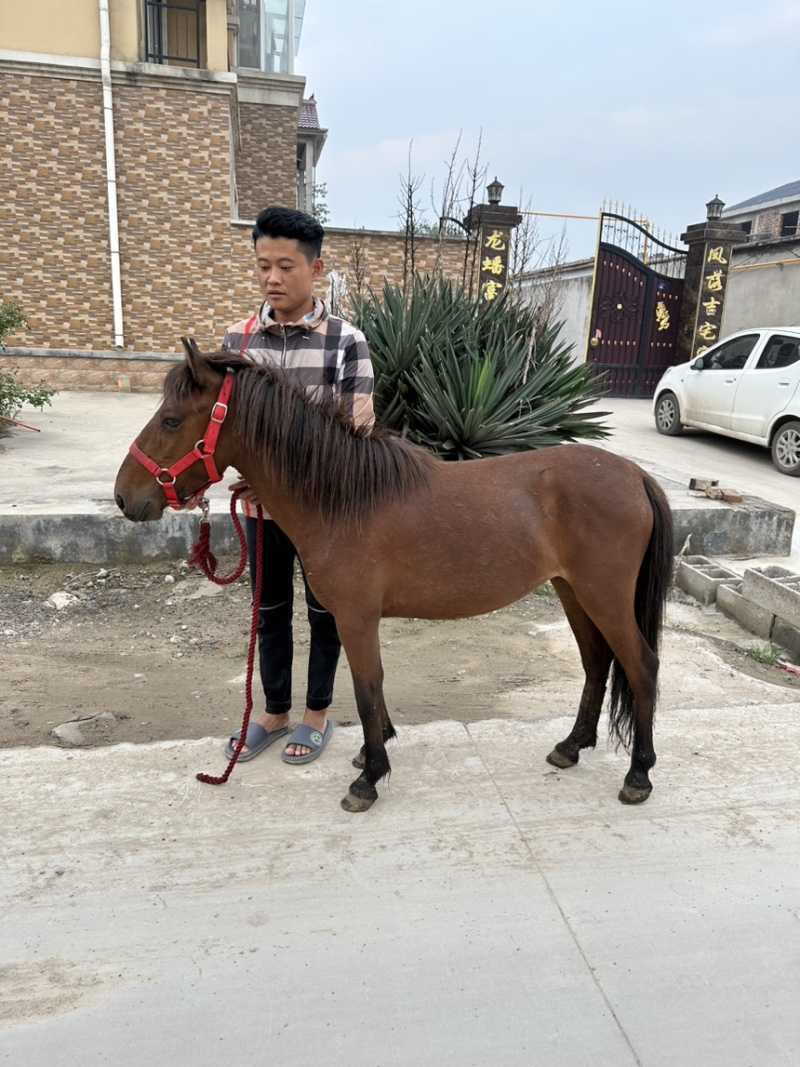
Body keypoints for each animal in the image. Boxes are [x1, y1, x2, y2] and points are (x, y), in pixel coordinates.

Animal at [114, 340, 674, 813]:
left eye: (171, 420)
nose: (123, 497)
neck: (343, 498)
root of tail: (635, 474)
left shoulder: (356, 617)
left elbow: (366, 689)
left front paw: (368, 779)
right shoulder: (359, 619)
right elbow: (373, 690)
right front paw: (371, 755)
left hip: (604, 597)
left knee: (641, 667)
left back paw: (639, 775)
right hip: (572, 591)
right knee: (597, 663)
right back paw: (571, 747)